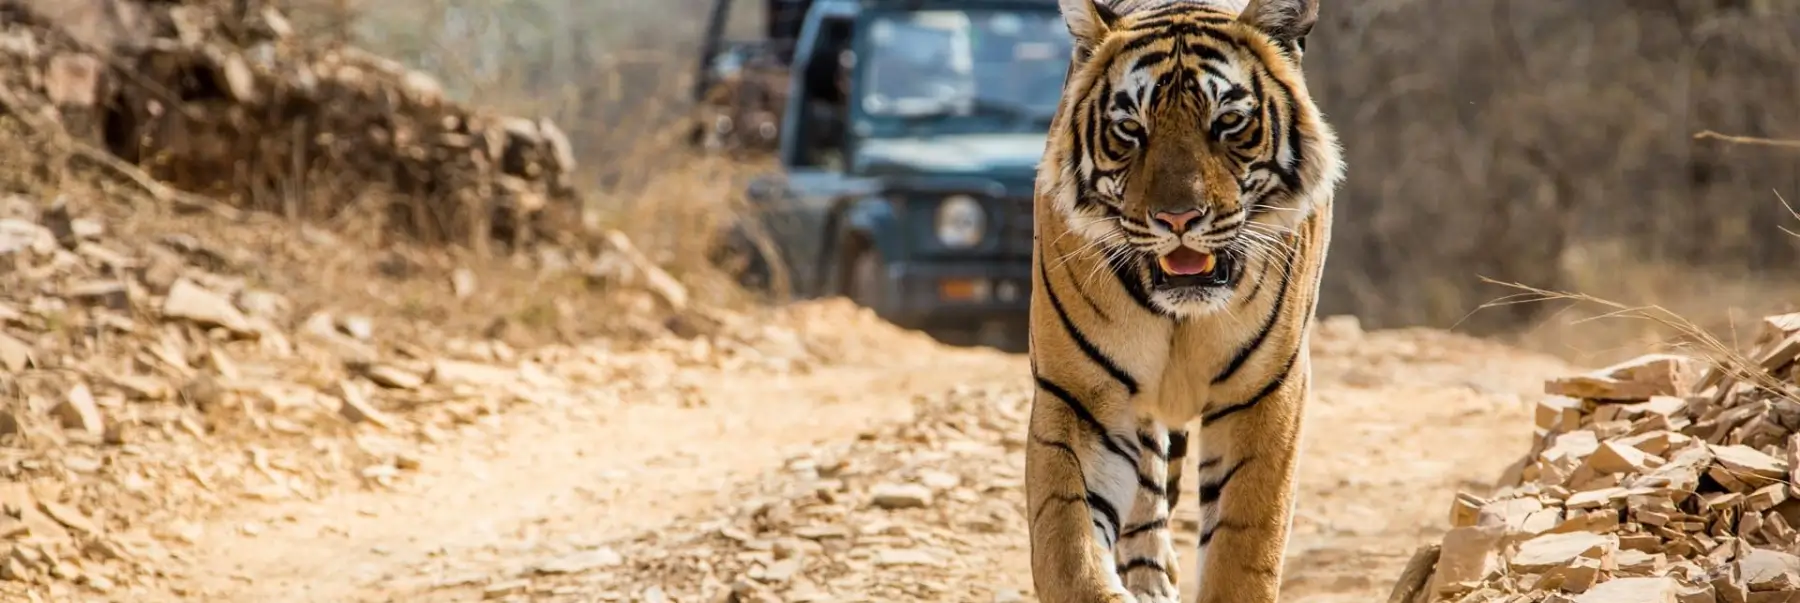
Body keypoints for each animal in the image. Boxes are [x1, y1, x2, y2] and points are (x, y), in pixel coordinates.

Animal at [1023, 0, 1345, 602]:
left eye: (1228, 123)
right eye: (1131, 129)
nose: (1178, 219)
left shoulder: (1264, 392)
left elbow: (1244, 546)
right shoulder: (1078, 395)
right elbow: (1068, 545)